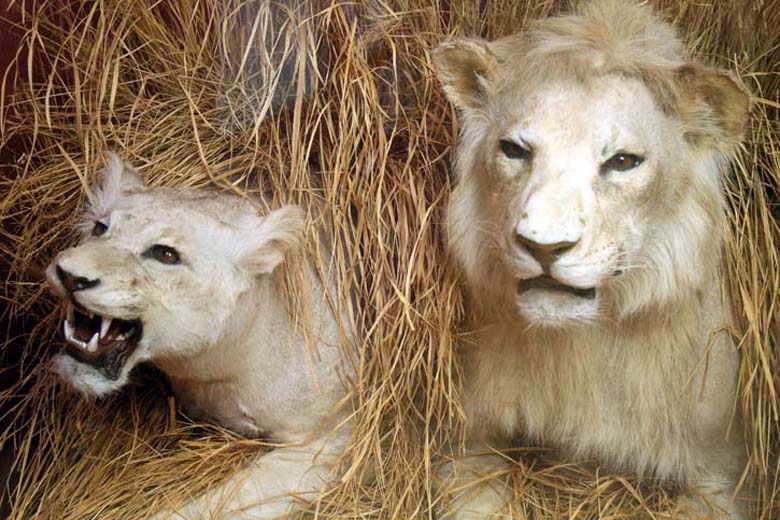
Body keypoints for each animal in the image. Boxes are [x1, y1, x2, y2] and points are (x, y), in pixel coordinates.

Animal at [46, 153, 353, 519]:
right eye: (100, 229)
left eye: (165, 254)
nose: (69, 275)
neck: (214, 371)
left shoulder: (329, 442)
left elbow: (230, 498)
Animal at [433, 0, 751, 518]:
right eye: (515, 150)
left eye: (622, 161)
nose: (543, 246)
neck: (581, 351)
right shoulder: (467, 443)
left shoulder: (724, 469)